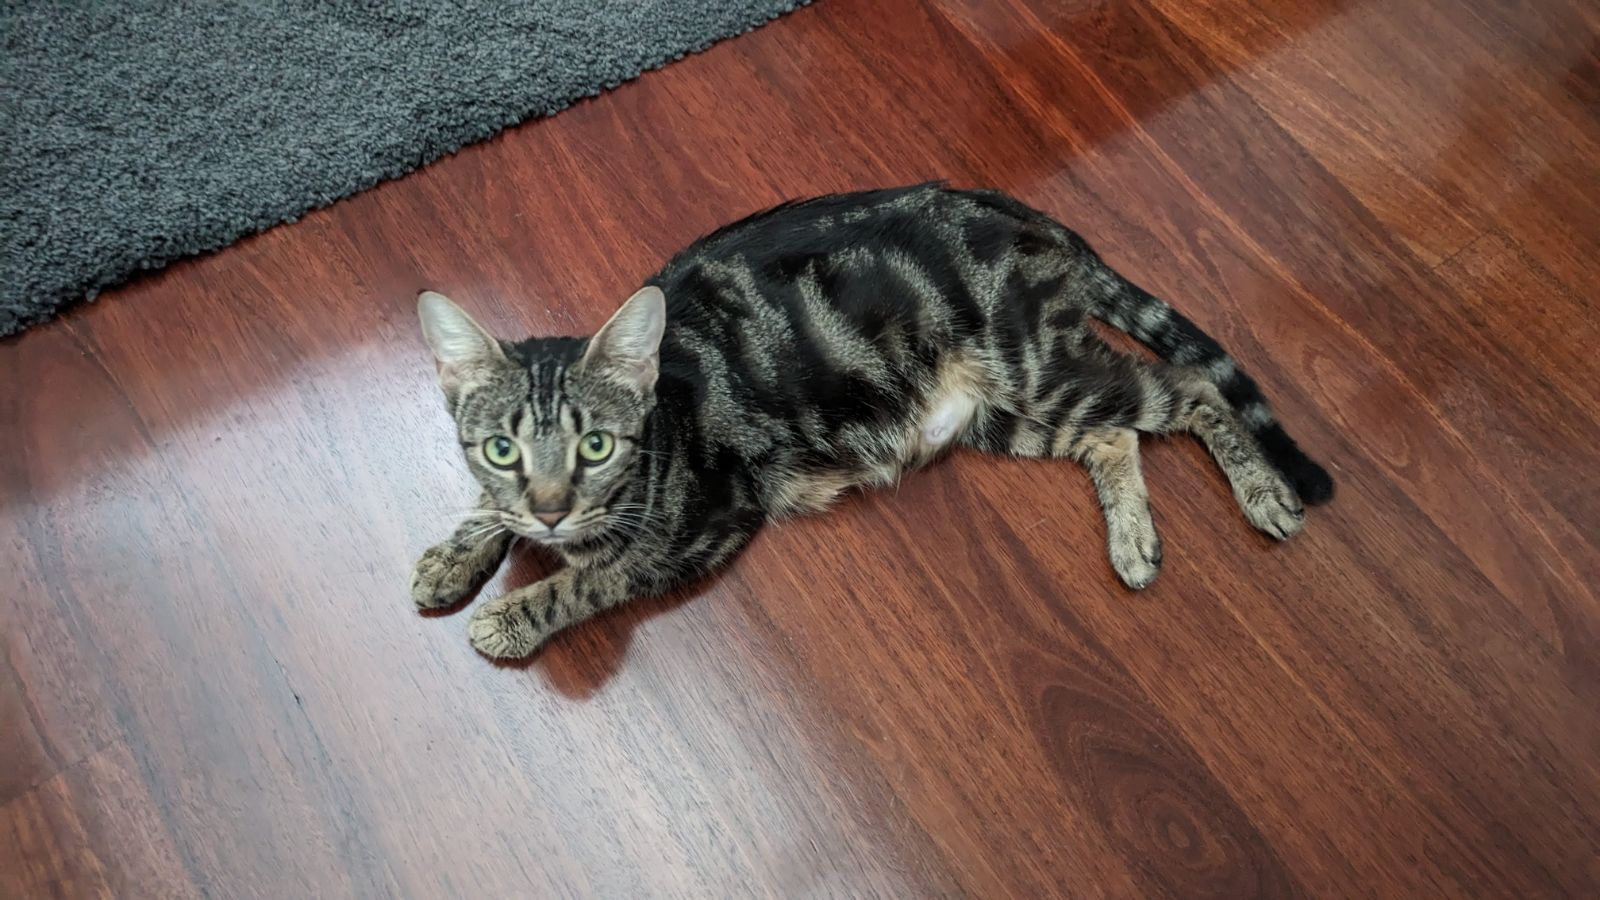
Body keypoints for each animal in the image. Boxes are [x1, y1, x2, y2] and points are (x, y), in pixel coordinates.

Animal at [410, 184, 1333, 659]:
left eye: (596, 445)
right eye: (501, 448)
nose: (550, 510)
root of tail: (1018, 210)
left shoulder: (703, 526)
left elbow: (596, 575)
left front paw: (513, 612)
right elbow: (489, 511)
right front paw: (456, 554)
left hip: (1036, 368)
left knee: (1191, 389)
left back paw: (1263, 494)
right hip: (1006, 413)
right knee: (1116, 434)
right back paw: (1134, 539)